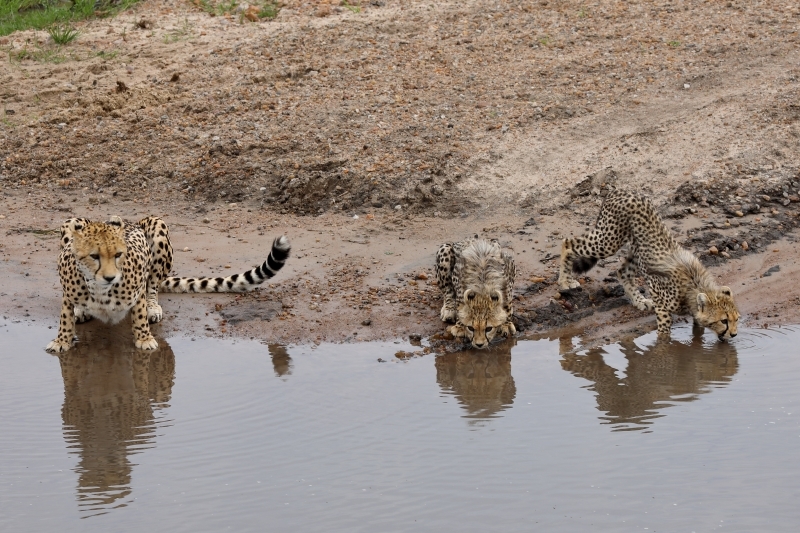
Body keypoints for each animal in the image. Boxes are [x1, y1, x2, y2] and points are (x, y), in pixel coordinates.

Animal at [46, 214, 290, 352]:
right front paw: (61, 341)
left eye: (118, 254)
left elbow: (139, 315)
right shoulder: (68, 290)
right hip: (70, 222)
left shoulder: (136, 289)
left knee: (153, 285)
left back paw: (153, 308)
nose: (110, 277)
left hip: (158, 226)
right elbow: (65, 318)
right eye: (94, 256)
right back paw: (81, 311)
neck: (98, 287)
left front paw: (145, 339)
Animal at [560, 191, 740, 340]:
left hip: (635, 251)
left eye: (736, 319)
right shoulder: (658, 296)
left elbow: (698, 330)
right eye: (724, 321)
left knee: (622, 272)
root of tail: (620, 190)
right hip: (607, 241)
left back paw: (639, 300)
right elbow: (664, 328)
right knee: (568, 243)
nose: (734, 334)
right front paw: (663, 345)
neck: (694, 284)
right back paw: (564, 281)